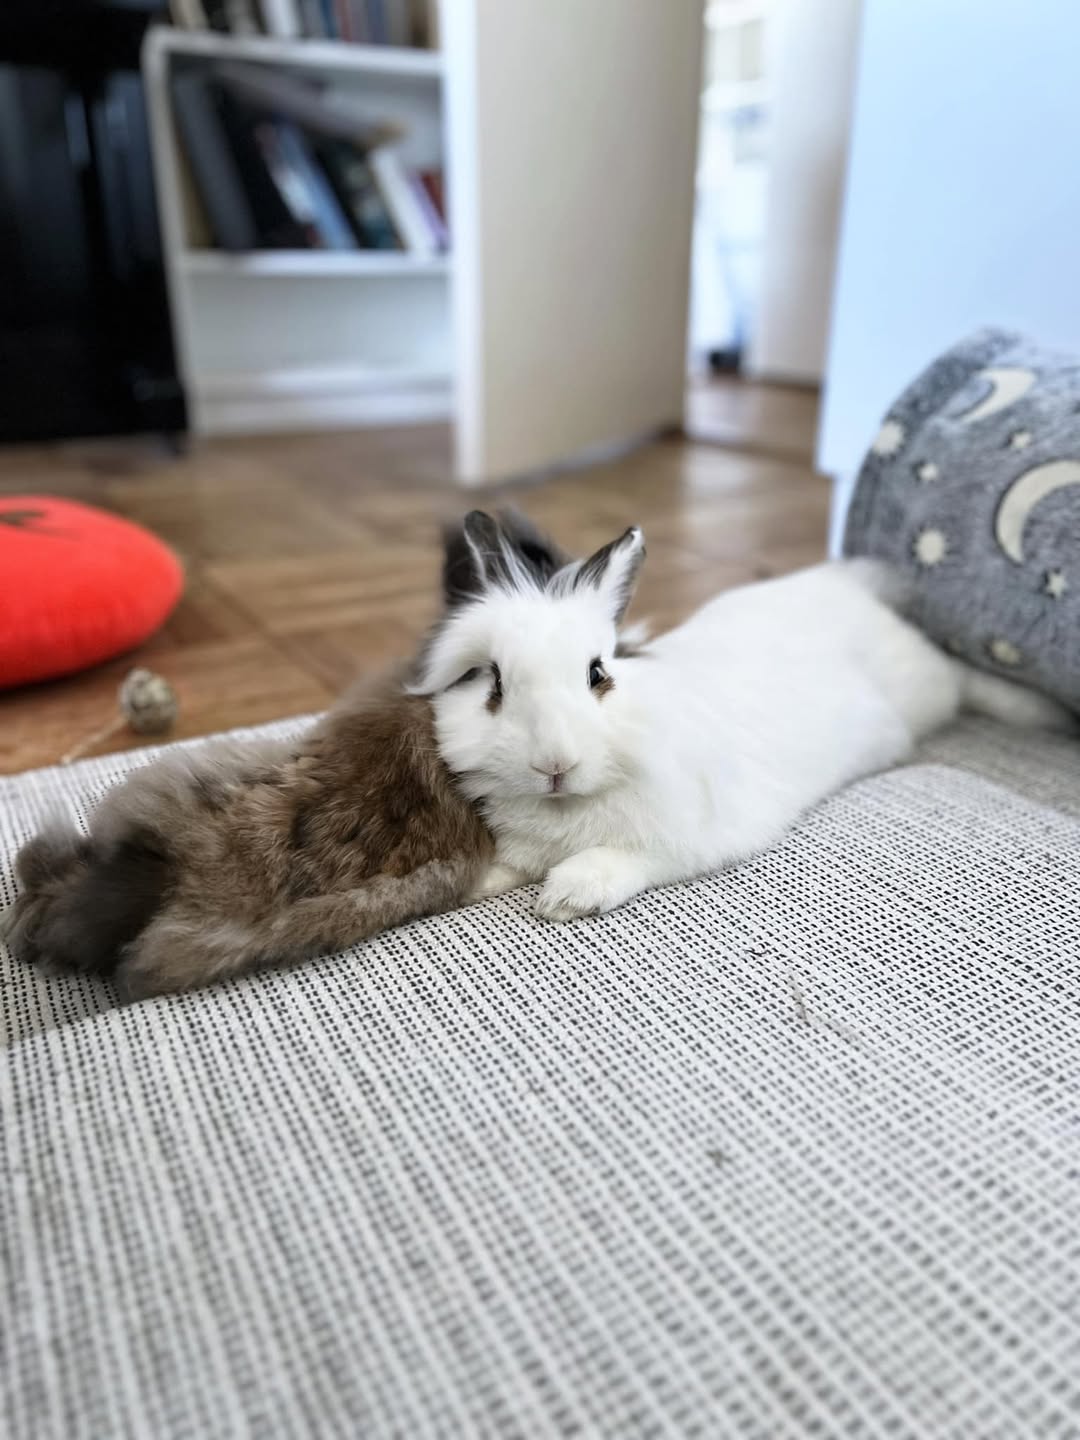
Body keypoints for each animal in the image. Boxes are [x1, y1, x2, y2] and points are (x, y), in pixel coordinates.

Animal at [414, 511, 1075, 923]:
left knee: (964, 681)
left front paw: (568, 897)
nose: (553, 764)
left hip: (929, 687)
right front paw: (474, 883)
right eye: (495, 684)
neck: (565, 806)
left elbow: (626, 861)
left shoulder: (687, 840)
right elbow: (507, 865)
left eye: (598, 674)